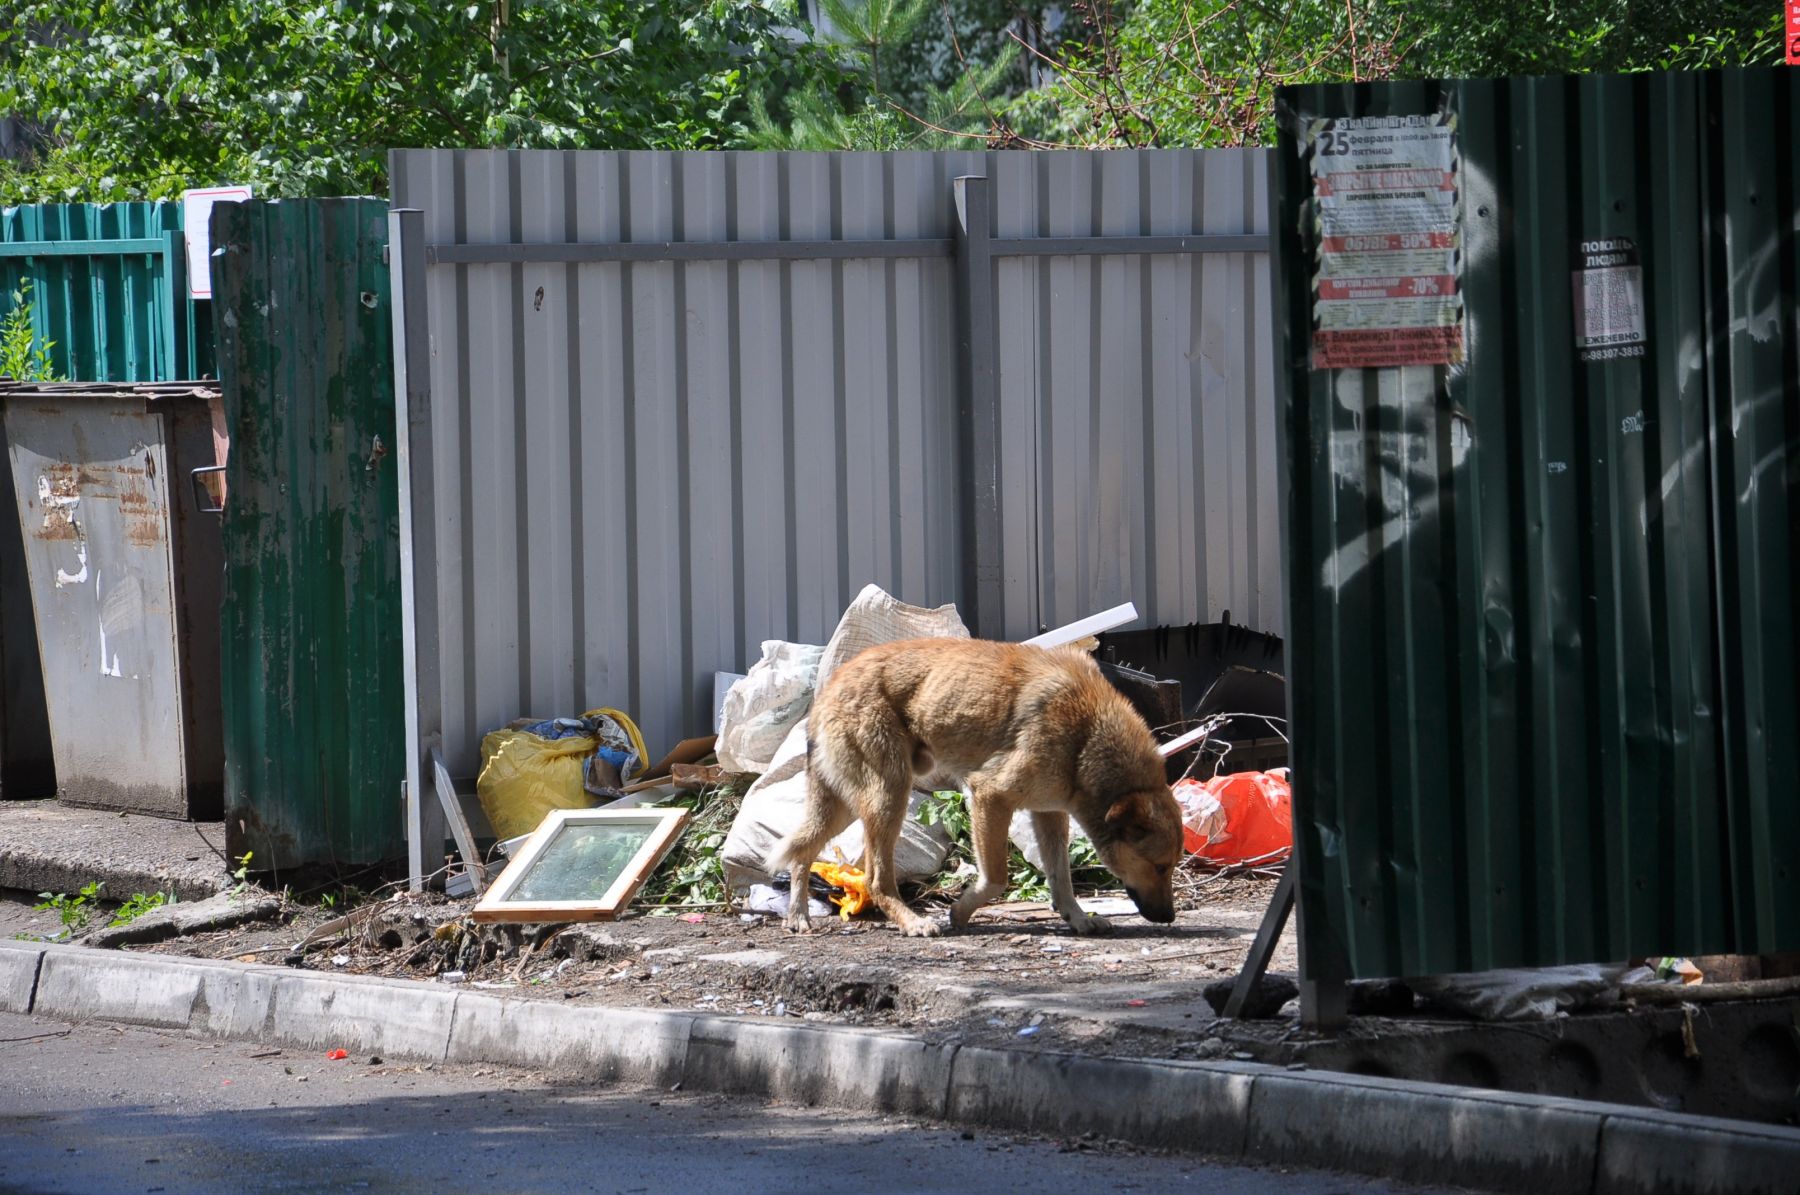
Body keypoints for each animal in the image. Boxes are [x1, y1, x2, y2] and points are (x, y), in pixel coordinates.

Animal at [766, 640, 1188, 935]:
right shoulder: (990, 796)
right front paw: (960, 911)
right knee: (874, 878)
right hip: (888, 796)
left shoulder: (1050, 812)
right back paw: (911, 922)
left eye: (1171, 866)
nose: (1168, 917)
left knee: (802, 851)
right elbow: (997, 876)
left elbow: (1061, 876)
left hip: (845, 805)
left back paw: (798, 916)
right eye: (1160, 866)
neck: (1087, 735)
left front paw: (1078, 918)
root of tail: (830, 687)